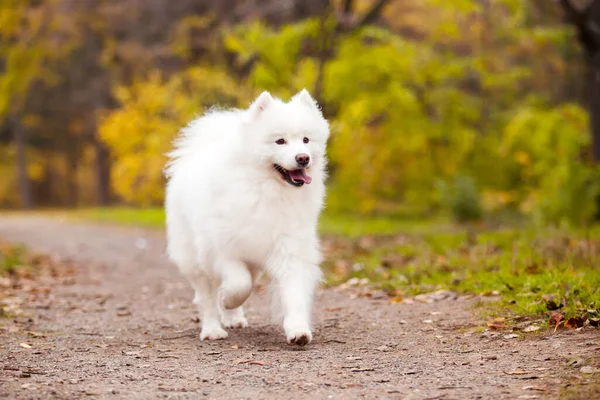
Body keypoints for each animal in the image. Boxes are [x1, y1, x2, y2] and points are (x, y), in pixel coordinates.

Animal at [165, 89, 328, 346]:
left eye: (305, 140)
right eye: (280, 141)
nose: (303, 158)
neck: (266, 190)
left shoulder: (290, 249)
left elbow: (293, 292)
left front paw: (298, 330)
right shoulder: (223, 250)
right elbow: (239, 284)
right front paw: (227, 299)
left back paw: (233, 319)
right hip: (195, 259)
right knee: (207, 297)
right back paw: (213, 329)